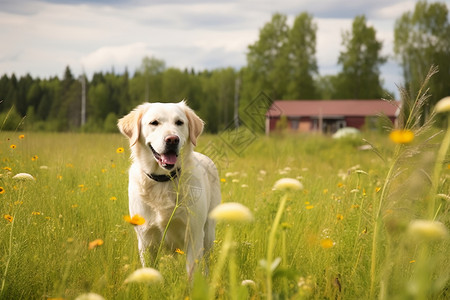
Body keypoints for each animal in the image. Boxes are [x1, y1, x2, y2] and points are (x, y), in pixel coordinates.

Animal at [117, 102, 221, 276]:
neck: (163, 180)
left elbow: (192, 275)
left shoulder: (194, 235)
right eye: (154, 122)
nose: (172, 139)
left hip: (208, 233)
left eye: (179, 122)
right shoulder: (146, 240)